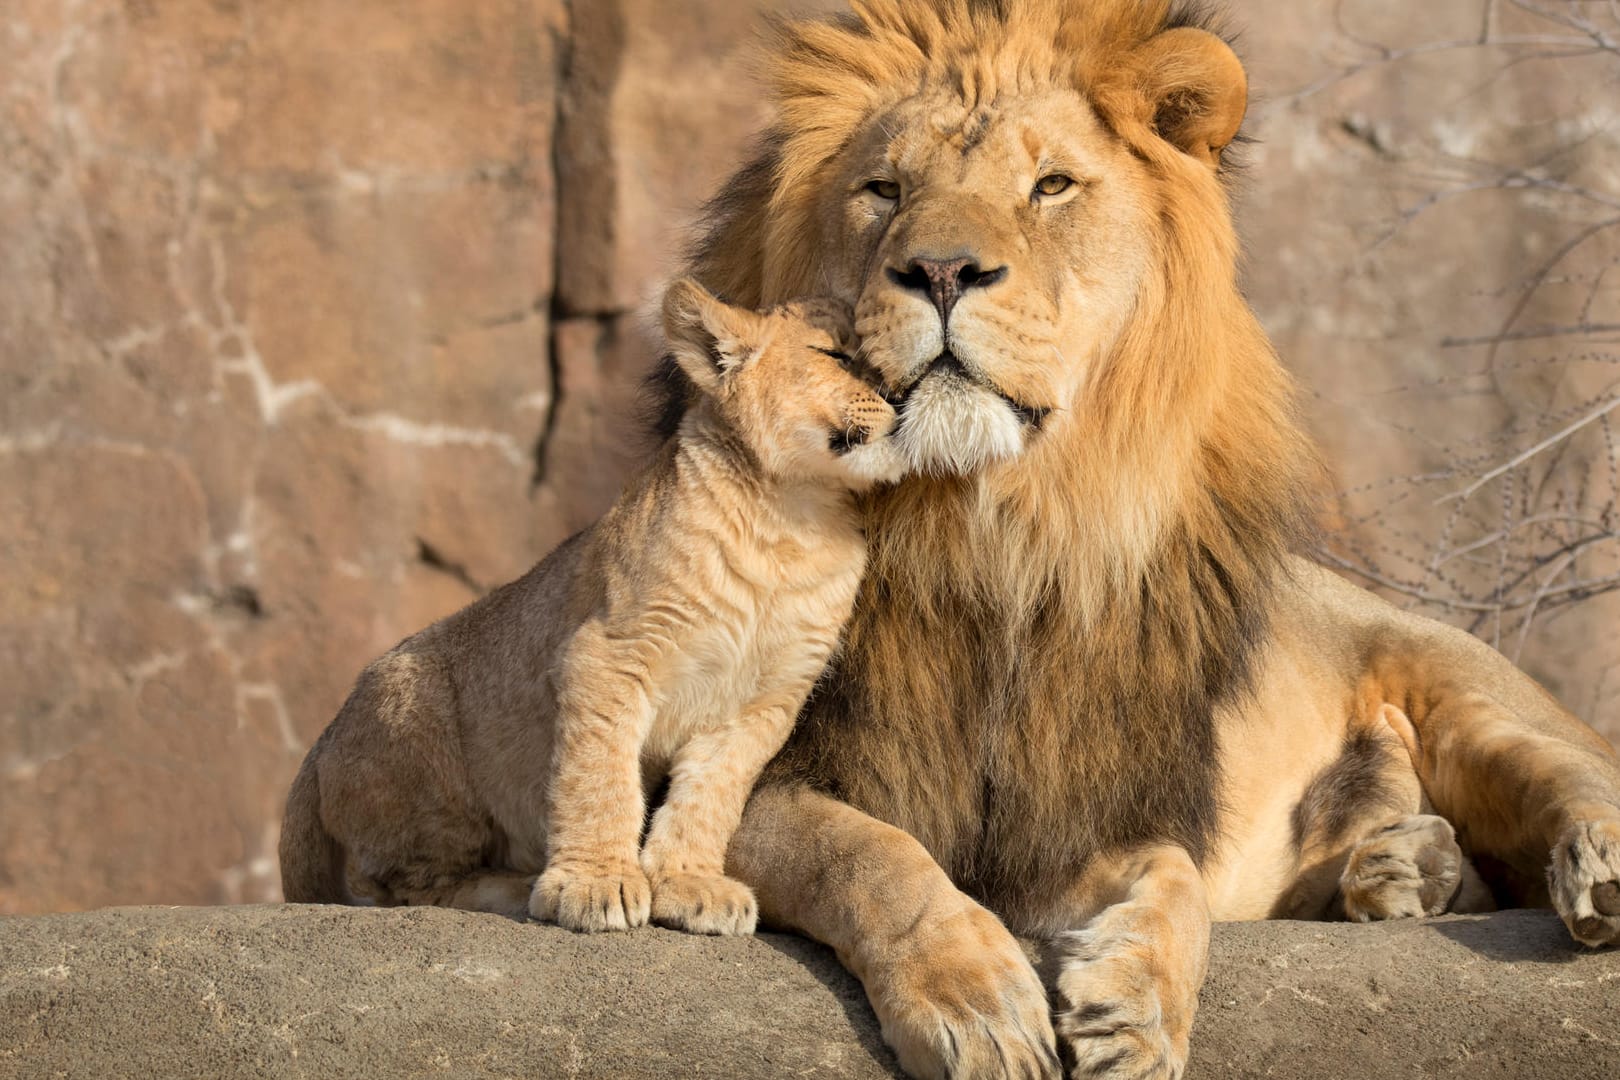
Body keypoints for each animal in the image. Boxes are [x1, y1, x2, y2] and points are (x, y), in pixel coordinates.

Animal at [644, 2, 1620, 1080]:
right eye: (885, 190)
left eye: (1050, 185)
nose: (940, 270)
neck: (990, 536)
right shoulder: (737, 774)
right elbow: (869, 853)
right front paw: (978, 1004)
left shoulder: (1094, 804)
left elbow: (1176, 878)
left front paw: (1138, 1017)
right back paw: (1403, 866)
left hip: (1455, 682)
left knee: (1562, 769)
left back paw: (1579, 866)